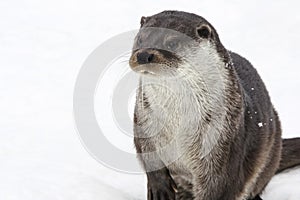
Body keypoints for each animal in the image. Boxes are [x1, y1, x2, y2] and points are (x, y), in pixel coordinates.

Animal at [129, 10, 300, 199]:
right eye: (141, 39)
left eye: (172, 42)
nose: (143, 55)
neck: (178, 125)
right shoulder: (144, 123)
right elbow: (149, 159)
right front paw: (160, 190)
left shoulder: (222, 142)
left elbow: (219, 186)